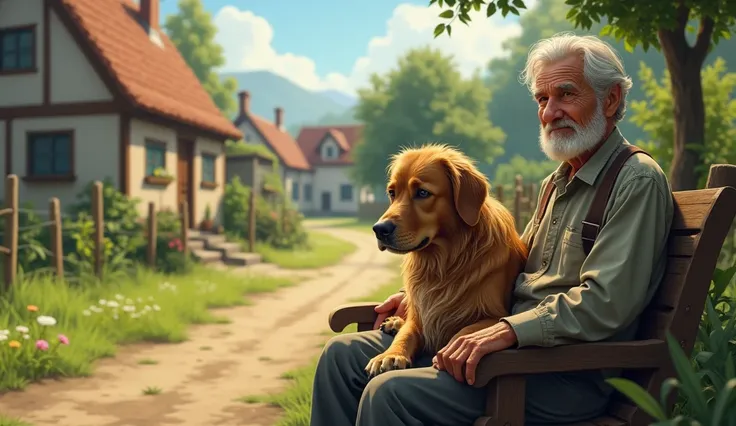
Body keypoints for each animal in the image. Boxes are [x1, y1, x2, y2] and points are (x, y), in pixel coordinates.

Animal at [364, 145, 528, 378]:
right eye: (392, 192)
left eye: (423, 193)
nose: (379, 229)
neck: (444, 260)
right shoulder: (422, 313)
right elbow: (407, 333)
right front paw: (391, 354)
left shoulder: (495, 315)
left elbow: (465, 330)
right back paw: (395, 322)